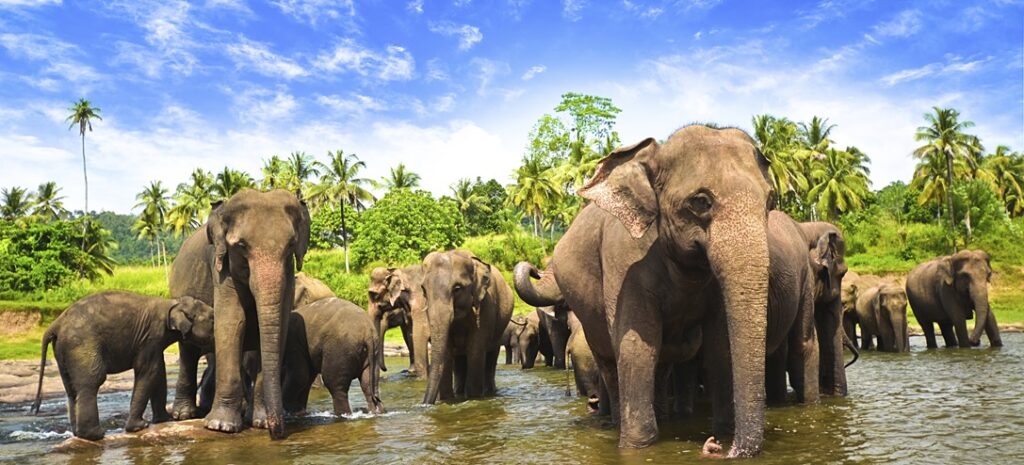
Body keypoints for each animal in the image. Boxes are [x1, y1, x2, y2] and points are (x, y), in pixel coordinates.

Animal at [30, 291, 214, 440]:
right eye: (212, 319)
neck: (172, 303)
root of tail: (56, 324)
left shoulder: (154, 343)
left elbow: (158, 373)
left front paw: (164, 420)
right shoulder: (150, 337)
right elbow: (149, 371)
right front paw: (139, 427)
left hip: (63, 352)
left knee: (71, 389)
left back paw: (78, 434)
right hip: (82, 345)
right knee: (92, 382)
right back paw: (95, 435)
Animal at [169, 189, 310, 439]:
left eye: (291, 245)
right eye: (242, 245)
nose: (278, 434)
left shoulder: (289, 273)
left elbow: (278, 325)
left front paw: (260, 422)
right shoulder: (221, 266)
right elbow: (232, 322)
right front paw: (220, 426)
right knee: (188, 352)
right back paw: (184, 415)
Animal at [421, 250, 514, 404]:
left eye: (457, 289)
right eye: (423, 290)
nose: (425, 404)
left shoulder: (486, 306)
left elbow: (475, 350)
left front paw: (473, 398)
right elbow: (446, 352)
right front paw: (447, 400)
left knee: (491, 358)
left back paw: (489, 392)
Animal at [513, 126, 774, 456]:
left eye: (770, 201)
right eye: (700, 201)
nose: (716, 447)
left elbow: (720, 345)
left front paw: (725, 431)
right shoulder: (624, 261)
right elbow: (637, 346)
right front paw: (637, 446)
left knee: (661, 363)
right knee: (610, 362)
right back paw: (616, 423)